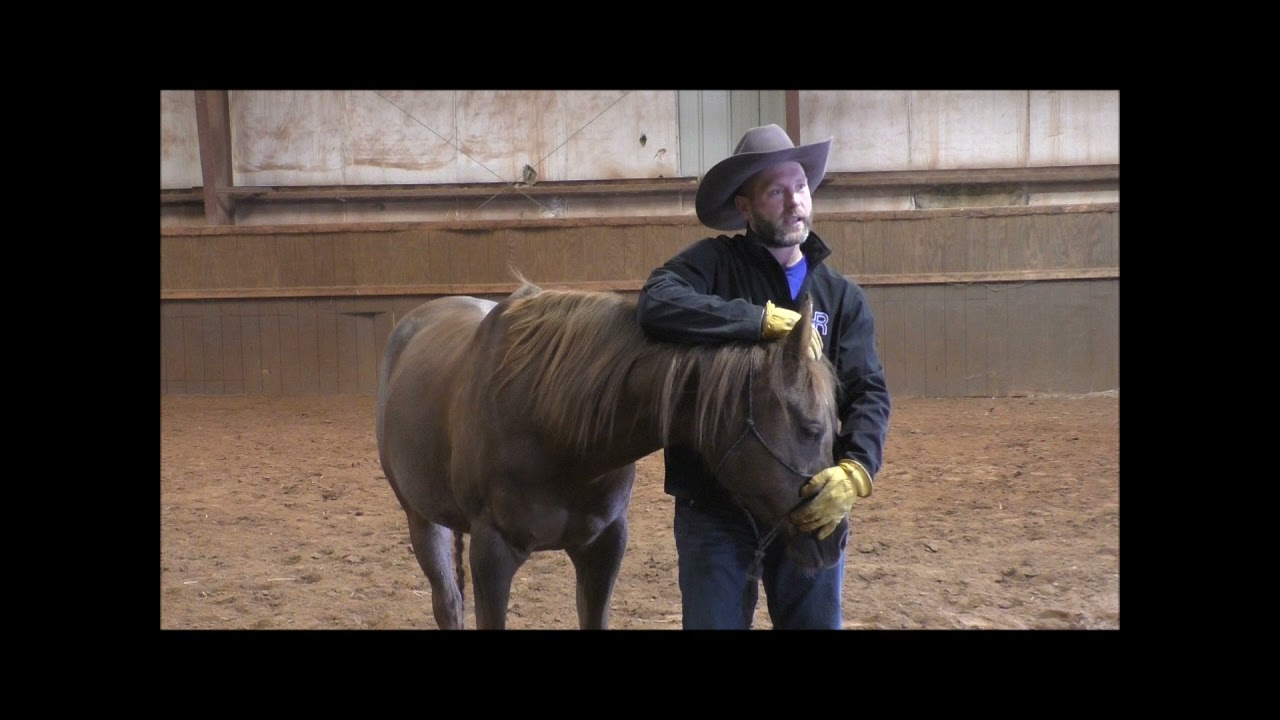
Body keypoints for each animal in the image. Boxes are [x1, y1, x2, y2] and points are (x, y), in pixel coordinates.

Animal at [375, 279, 846, 629]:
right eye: (810, 428)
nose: (835, 539)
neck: (550, 425)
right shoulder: (492, 553)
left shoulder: (604, 546)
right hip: (421, 521)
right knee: (447, 603)